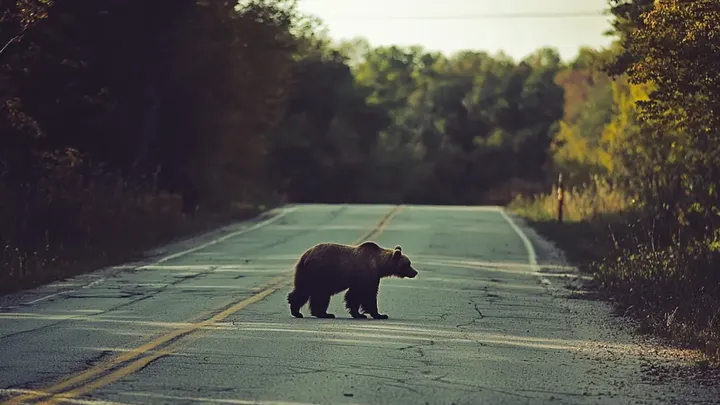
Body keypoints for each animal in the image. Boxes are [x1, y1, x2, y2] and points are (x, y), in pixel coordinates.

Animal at [286, 241, 418, 319]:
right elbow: (366, 295)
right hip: (319, 274)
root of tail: (305, 256)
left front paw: (358, 313)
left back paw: (311, 312)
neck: (379, 265)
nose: (415, 272)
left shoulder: (361, 279)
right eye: (408, 264)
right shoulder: (367, 275)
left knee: (304, 291)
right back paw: (316, 313)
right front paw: (379, 314)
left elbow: (353, 295)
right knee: (315, 293)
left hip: (305, 273)